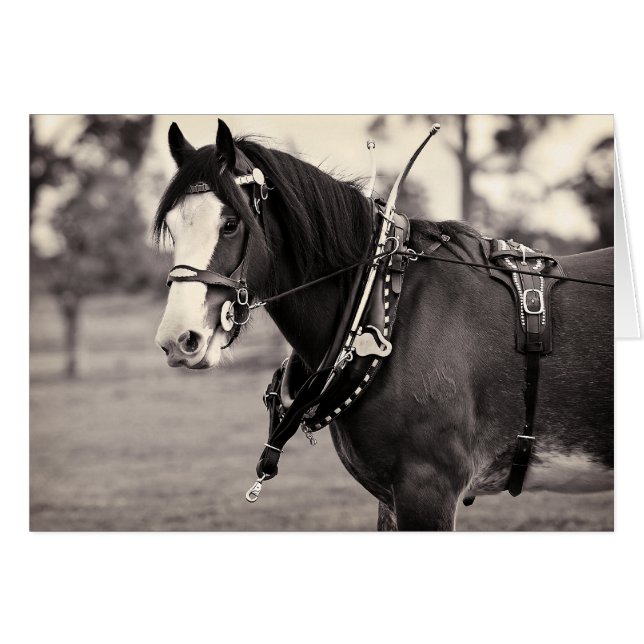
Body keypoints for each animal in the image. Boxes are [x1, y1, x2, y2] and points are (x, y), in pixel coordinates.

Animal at [153, 119, 614, 531]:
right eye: (172, 227)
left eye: (230, 224)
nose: (178, 339)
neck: (386, 302)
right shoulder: (392, 496)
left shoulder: (427, 488)